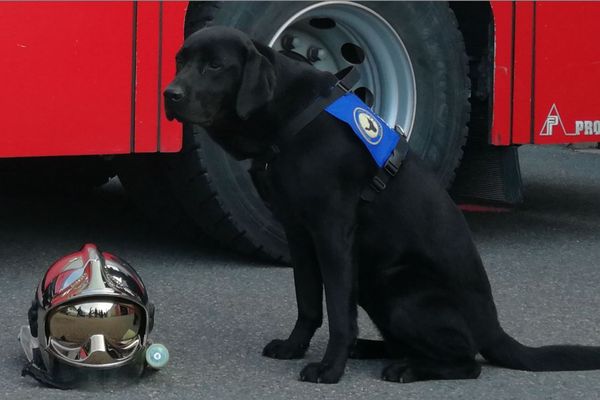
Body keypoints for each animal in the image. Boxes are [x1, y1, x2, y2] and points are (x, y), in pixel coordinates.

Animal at [164, 26, 600, 382]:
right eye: (180, 61)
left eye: (215, 65)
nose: (170, 95)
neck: (291, 118)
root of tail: (492, 327)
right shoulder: (298, 233)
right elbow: (308, 302)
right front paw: (293, 348)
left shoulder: (333, 232)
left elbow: (338, 312)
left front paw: (329, 369)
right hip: (374, 285)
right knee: (400, 341)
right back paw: (372, 350)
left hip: (402, 291)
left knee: (469, 362)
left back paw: (406, 369)